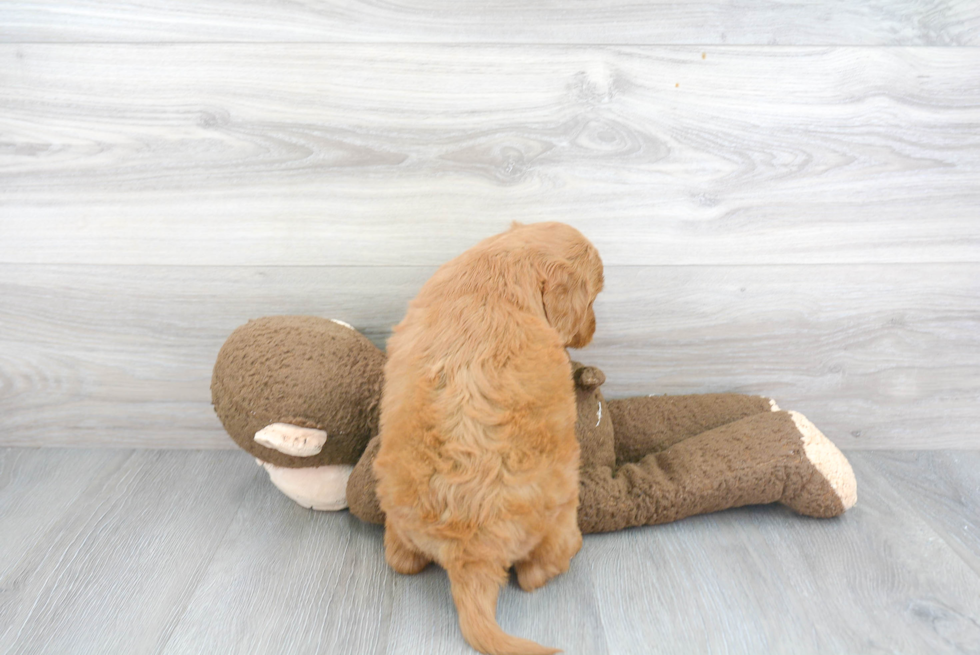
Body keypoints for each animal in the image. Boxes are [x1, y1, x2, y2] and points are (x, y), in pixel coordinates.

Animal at [376, 223, 604, 652]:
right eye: (593, 297)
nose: (593, 329)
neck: (506, 264)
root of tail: (471, 558)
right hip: (560, 515)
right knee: (535, 573)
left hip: (396, 513)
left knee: (401, 559)